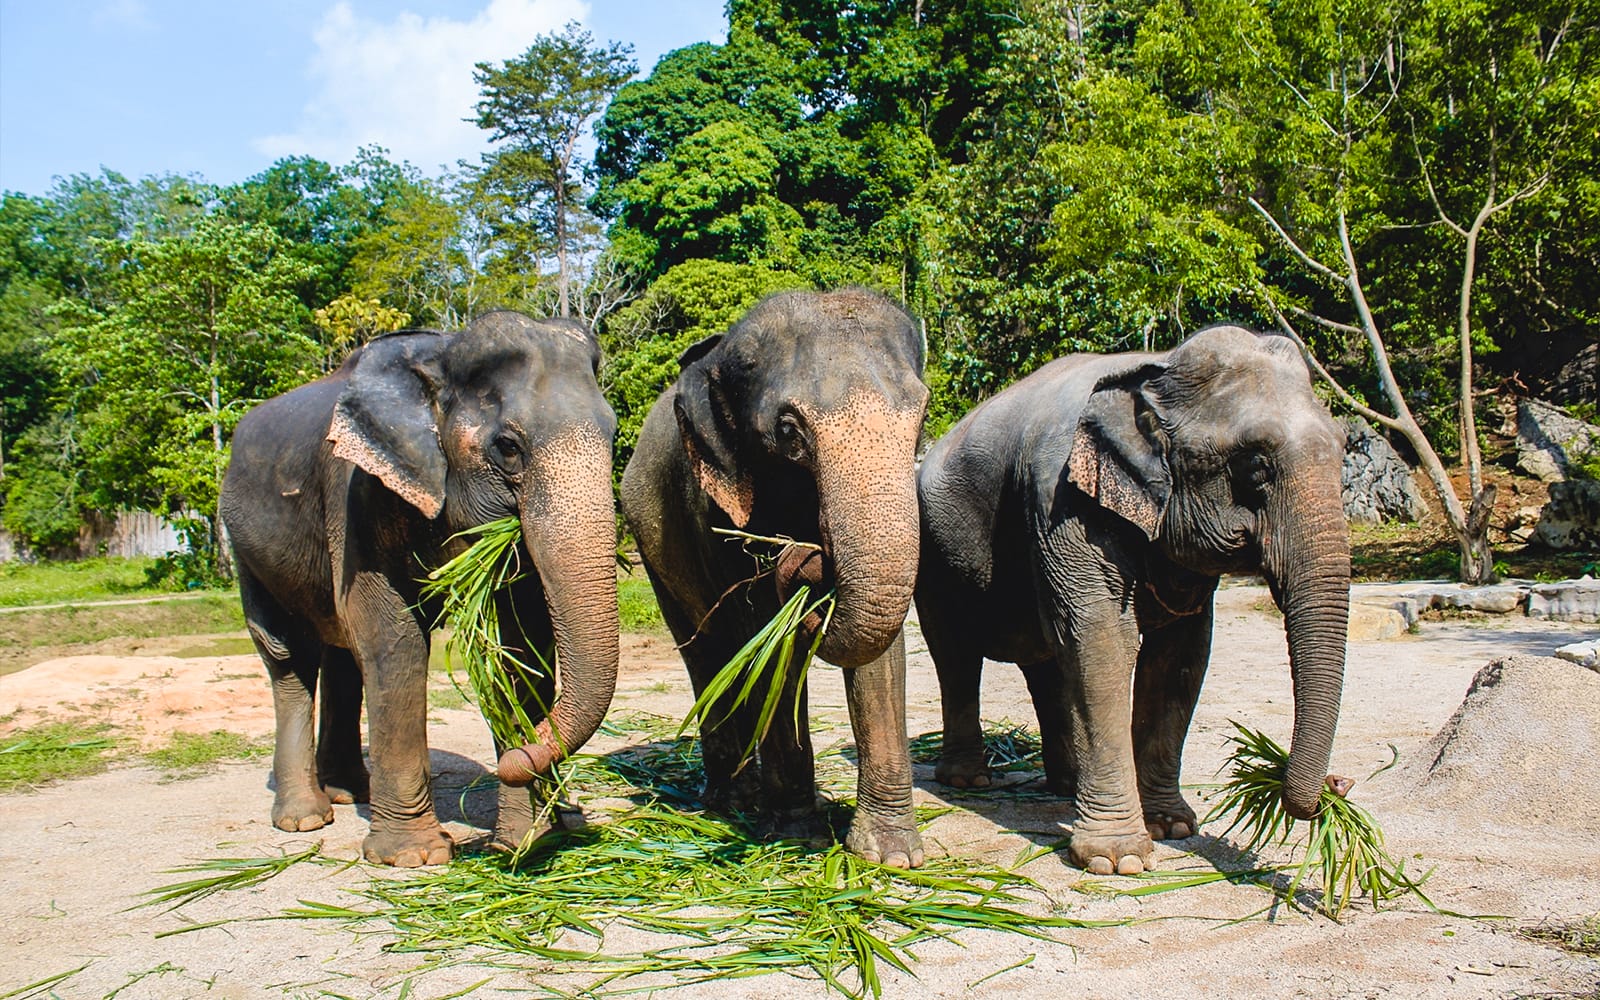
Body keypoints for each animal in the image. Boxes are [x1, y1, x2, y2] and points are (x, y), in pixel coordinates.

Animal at [219, 310, 620, 867]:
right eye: (508, 447)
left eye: (614, 434)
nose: (520, 758)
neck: (440, 353)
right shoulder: (356, 490)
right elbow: (394, 637)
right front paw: (415, 857)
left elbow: (519, 645)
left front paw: (530, 840)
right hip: (244, 547)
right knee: (289, 654)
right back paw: (305, 818)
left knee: (342, 656)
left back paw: (351, 792)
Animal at [620, 288, 929, 869]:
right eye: (788, 433)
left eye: (921, 418)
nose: (809, 557)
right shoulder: (719, 511)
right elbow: (768, 639)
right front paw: (795, 836)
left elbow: (880, 654)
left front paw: (891, 855)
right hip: (650, 547)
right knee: (706, 651)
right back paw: (732, 801)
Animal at [914, 325, 1350, 875]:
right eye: (1255, 467)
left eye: (1345, 448)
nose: (1339, 783)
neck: (1157, 366)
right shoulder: (1063, 498)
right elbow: (1103, 641)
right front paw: (1117, 860)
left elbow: (1180, 656)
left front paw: (1173, 827)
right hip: (932, 556)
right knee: (956, 655)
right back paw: (968, 780)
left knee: (1048, 662)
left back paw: (1066, 785)